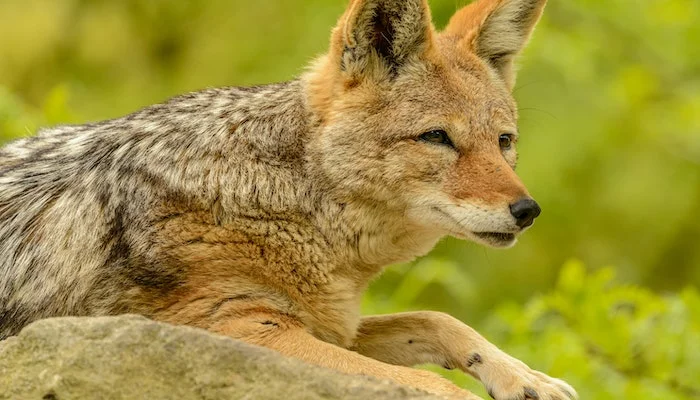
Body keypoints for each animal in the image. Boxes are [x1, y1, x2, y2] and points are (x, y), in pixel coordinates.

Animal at [0, 0, 577, 399]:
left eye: (504, 142)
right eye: (437, 137)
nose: (527, 212)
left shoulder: (332, 327)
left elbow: (437, 319)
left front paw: (527, 379)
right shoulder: (238, 330)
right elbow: (433, 384)